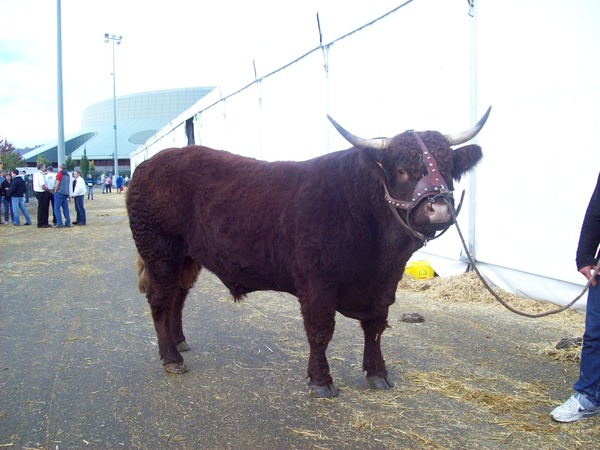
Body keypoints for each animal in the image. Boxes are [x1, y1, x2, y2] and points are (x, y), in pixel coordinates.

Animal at [129, 110, 490, 398]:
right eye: (402, 169)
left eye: (448, 168)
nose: (439, 208)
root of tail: (147, 165)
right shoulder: (317, 285)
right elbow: (320, 332)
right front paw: (321, 381)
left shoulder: (384, 284)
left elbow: (375, 327)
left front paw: (378, 374)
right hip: (160, 252)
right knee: (160, 300)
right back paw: (172, 358)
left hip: (186, 258)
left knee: (177, 298)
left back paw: (179, 343)